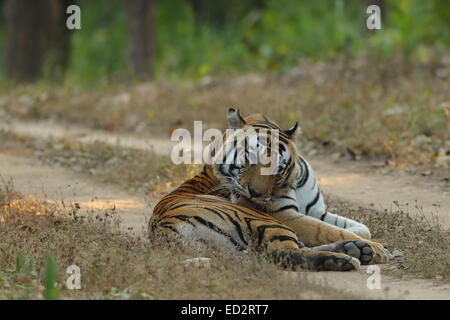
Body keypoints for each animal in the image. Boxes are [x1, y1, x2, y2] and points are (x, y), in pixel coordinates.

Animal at [149, 109, 390, 272]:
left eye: (277, 169)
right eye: (249, 160)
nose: (255, 193)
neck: (294, 182)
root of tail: (163, 231)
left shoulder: (316, 211)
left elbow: (357, 227)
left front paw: (365, 241)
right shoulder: (284, 215)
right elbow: (325, 230)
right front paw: (379, 248)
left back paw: (355, 249)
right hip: (261, 219)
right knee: (282, 252)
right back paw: (345, 258)